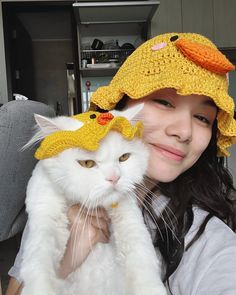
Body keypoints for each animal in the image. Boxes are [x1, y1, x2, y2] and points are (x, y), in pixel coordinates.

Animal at [20, 105, 167, 295]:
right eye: (87, 164)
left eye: (124, 158)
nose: (114, 178)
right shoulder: (46, 212)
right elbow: (40, 255)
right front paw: (40, 288)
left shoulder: (128, 215)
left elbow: (141, 254)